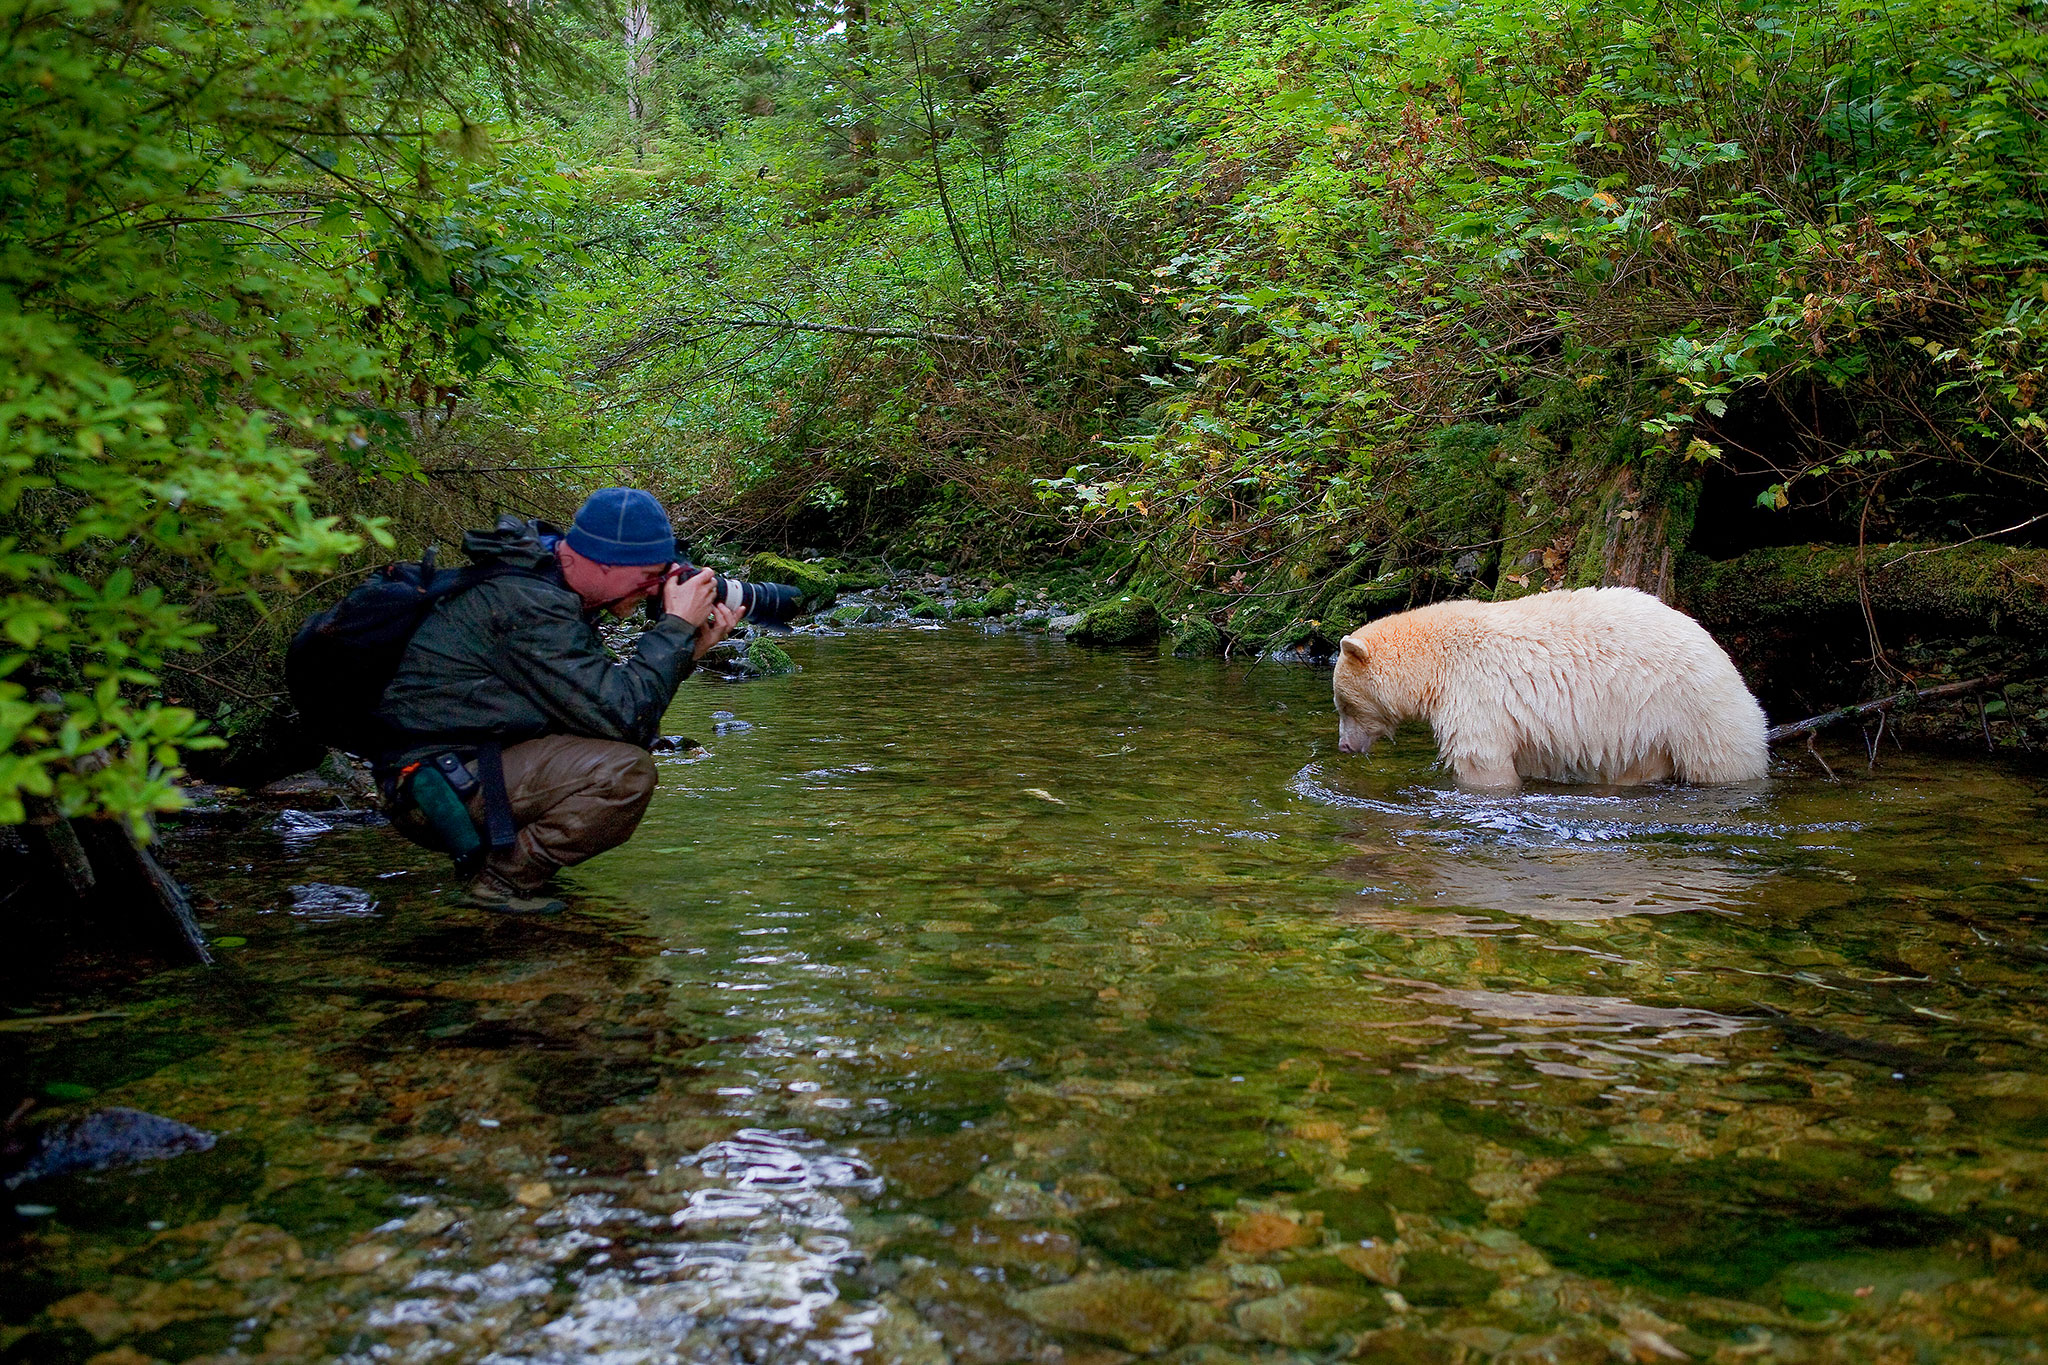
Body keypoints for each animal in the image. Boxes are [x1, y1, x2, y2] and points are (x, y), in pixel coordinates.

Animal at [1335, 589, 1769, 789]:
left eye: (1344, 704)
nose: (1344, 746)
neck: (1437, 659)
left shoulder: (1475, 693)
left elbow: (1482, 761)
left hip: (1693, 710)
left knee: (1721, 761)